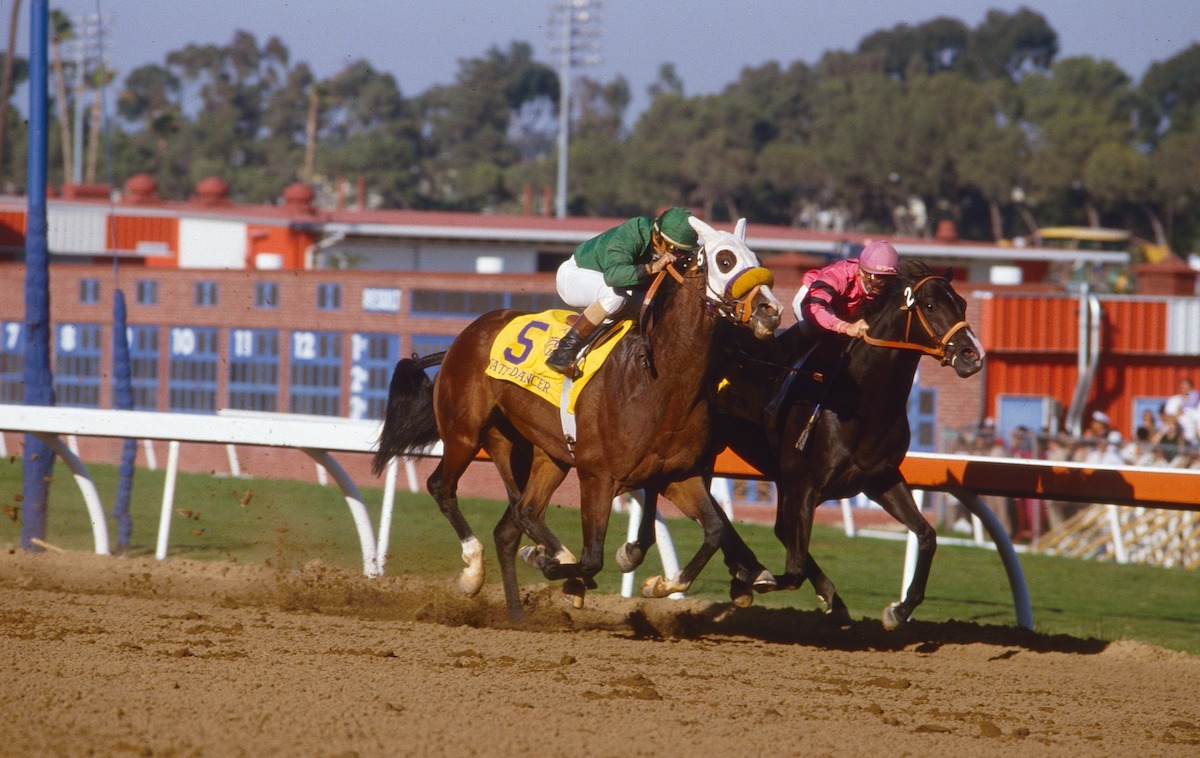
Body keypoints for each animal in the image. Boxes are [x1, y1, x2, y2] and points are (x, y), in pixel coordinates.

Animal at [374, 215, 787, 618]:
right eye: (725, 260)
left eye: (756, 258)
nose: (771, 311)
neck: (658, 383)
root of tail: (462, 338)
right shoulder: (597, 476)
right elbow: (592, 559)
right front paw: (561, 568)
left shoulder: (677, 475)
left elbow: (714, 529)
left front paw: (660, 583)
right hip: (465, 433)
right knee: (444, 489)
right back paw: (477, 570)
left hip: (536, 451)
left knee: (519, 515)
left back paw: (519, 610)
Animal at [619, 259, 984, 628]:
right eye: (930, 305)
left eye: (962, 304)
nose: (972, 356)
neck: (860, 403)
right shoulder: (801, 483)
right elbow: (791, 563)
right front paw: (754, 581)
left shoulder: (880, 479)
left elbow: (926, 536)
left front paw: (898, 610)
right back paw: (641, 552)